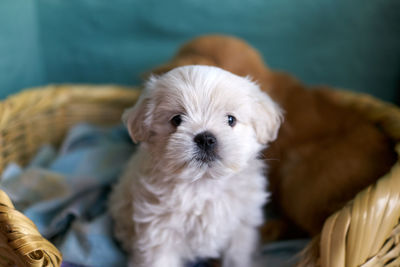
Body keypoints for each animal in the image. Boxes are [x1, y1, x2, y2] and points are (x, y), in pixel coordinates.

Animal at [109, 65, 282, 267]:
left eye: (231, 120)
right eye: (177, 120)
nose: (206, 138)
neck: (203, 182)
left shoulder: (242, 228)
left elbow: (237, 256)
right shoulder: (158, 232)